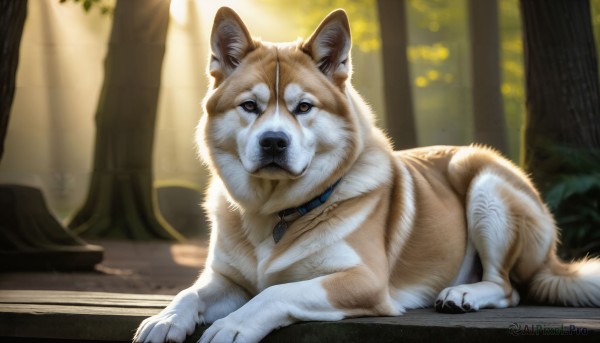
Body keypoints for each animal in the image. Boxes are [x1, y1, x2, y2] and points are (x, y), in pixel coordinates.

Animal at [136, 6, 600, 343]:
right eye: (250, 106)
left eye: (303, 107)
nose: (273, 142)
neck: (277, 212)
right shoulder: (226, 279)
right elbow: (191, 291)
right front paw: (165, 319)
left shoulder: (363, 280)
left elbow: (276, 291)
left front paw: (233, 325)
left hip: (483, 182)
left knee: (508, 287)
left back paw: (464, 293)